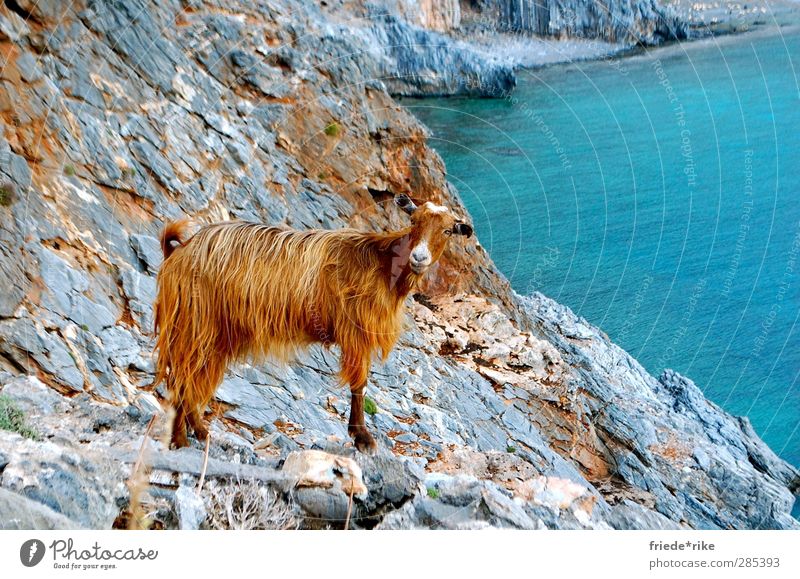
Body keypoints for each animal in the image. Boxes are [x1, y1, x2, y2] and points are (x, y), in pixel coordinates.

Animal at [153, 197, 472, 456]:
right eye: (414, 221)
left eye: (447, 230)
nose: (419, 257)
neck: (382, 262)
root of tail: (180, 250)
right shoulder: (356, 332)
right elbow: (360, 384)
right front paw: (362, 437)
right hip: (196, 323)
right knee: (183, 376)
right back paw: (180, 439)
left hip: (216, 332)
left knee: (194, 377)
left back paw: (198, 431)